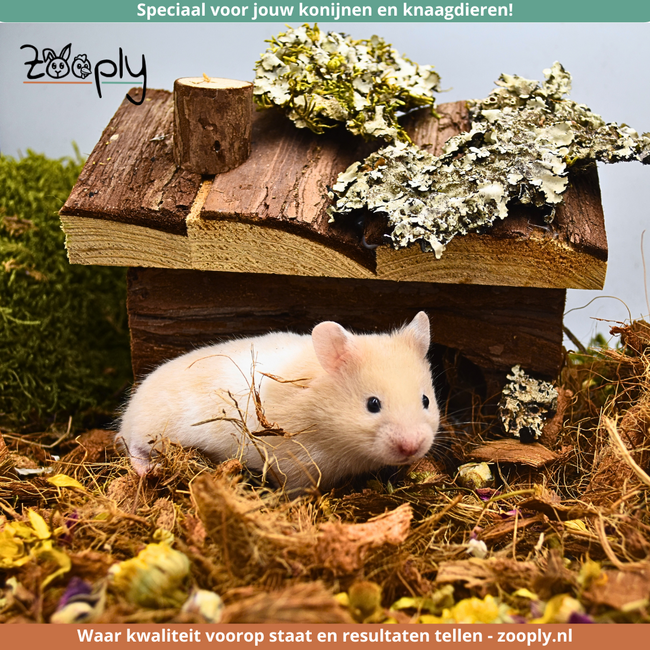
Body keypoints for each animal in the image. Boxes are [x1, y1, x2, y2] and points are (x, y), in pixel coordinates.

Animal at [117, 312, 440, 494]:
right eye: (372, 404)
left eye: (426, 400)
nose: (412, 448)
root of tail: (127, 414)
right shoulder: (294, 467)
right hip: (150, 429)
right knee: (133, 449)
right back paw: (150, 471)